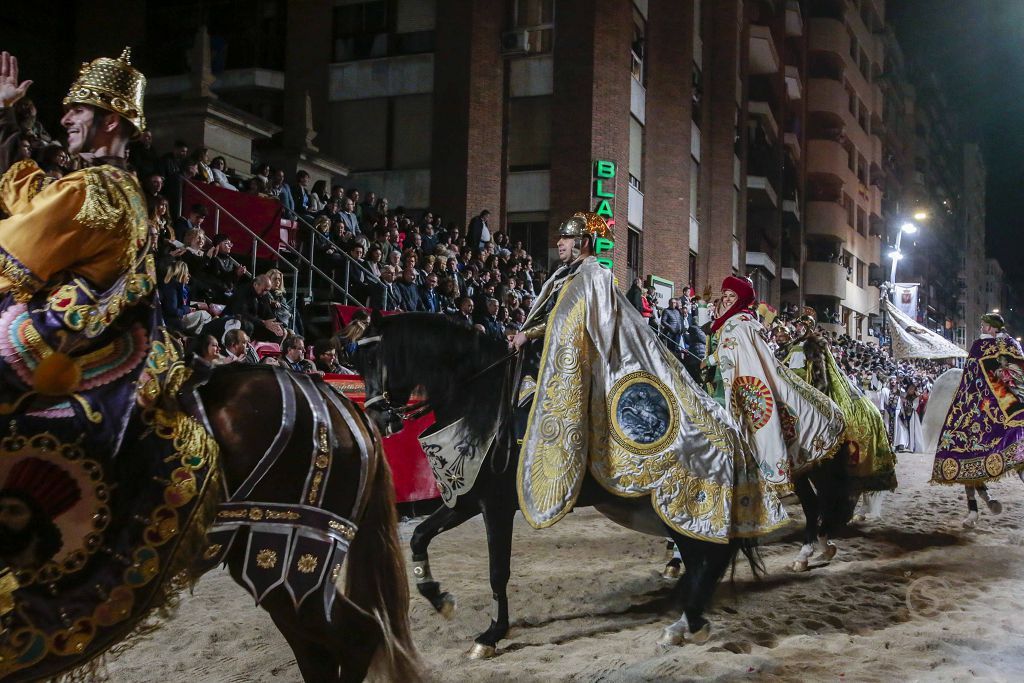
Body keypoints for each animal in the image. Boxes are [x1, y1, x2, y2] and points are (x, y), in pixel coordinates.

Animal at [352, 313, 761, 655]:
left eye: (373, 360)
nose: (378, 417)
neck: (481, 404)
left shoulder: (496, 507)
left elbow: (498, 571)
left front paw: (492, 633)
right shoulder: (465, 499)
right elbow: (420, 537)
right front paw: (439, 598)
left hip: (678, 504)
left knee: (707, 556)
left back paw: (689, 619)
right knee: (702, 558)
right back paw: (682, 612)